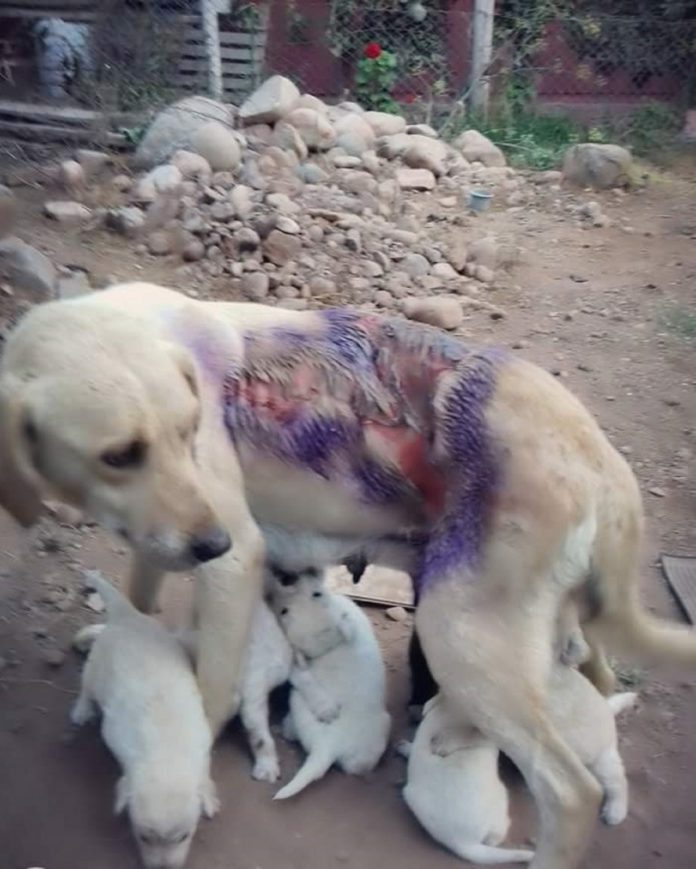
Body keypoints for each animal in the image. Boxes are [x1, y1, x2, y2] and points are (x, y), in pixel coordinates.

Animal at [71, 572, 218, 868]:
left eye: (184, 837)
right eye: (143, 837)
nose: (164, 868)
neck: (168, 751)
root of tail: (129, 617)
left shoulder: (203, 743)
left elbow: (205, 773)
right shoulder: (115, 736)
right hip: (96, 666)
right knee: (87, 687)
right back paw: (82, 710)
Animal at [270, 572, 392, 796]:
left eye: (316, 594)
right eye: (285, 611)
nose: (291, 579)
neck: (333, 645)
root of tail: (327, 747)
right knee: (355, 767)